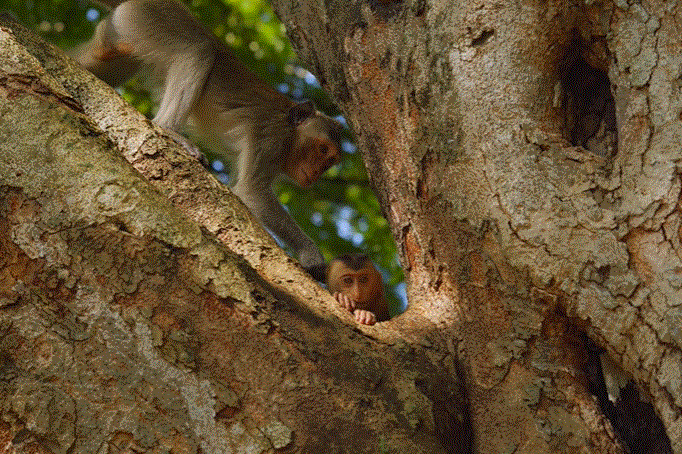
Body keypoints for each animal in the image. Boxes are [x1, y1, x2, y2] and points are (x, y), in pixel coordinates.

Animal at [73, 0, 345, 279]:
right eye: (323, 150)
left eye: (330, 162)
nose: (316, 173)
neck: (290, 131)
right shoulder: (271, 139)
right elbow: (253, 192)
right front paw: (311, 253)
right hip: (150, 18)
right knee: (199, 51)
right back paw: (169, 128)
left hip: (124, 30)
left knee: (105, 53)